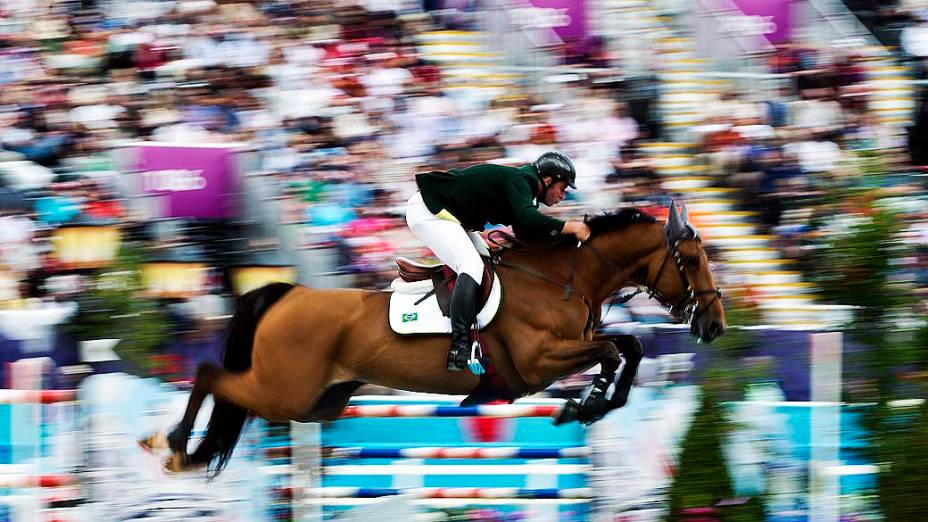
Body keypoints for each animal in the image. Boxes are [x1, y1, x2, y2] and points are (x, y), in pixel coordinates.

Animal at [143, 201, 724, 474]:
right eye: (691, 259)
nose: (715, 325)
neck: (564, 278)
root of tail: (288, 294)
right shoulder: (538, 362)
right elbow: (613, 349)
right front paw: (582, 405)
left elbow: (629, 347)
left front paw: (592, 405)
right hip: (283, 390)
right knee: (210, 375)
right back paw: (172, 446)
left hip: (318, 402)